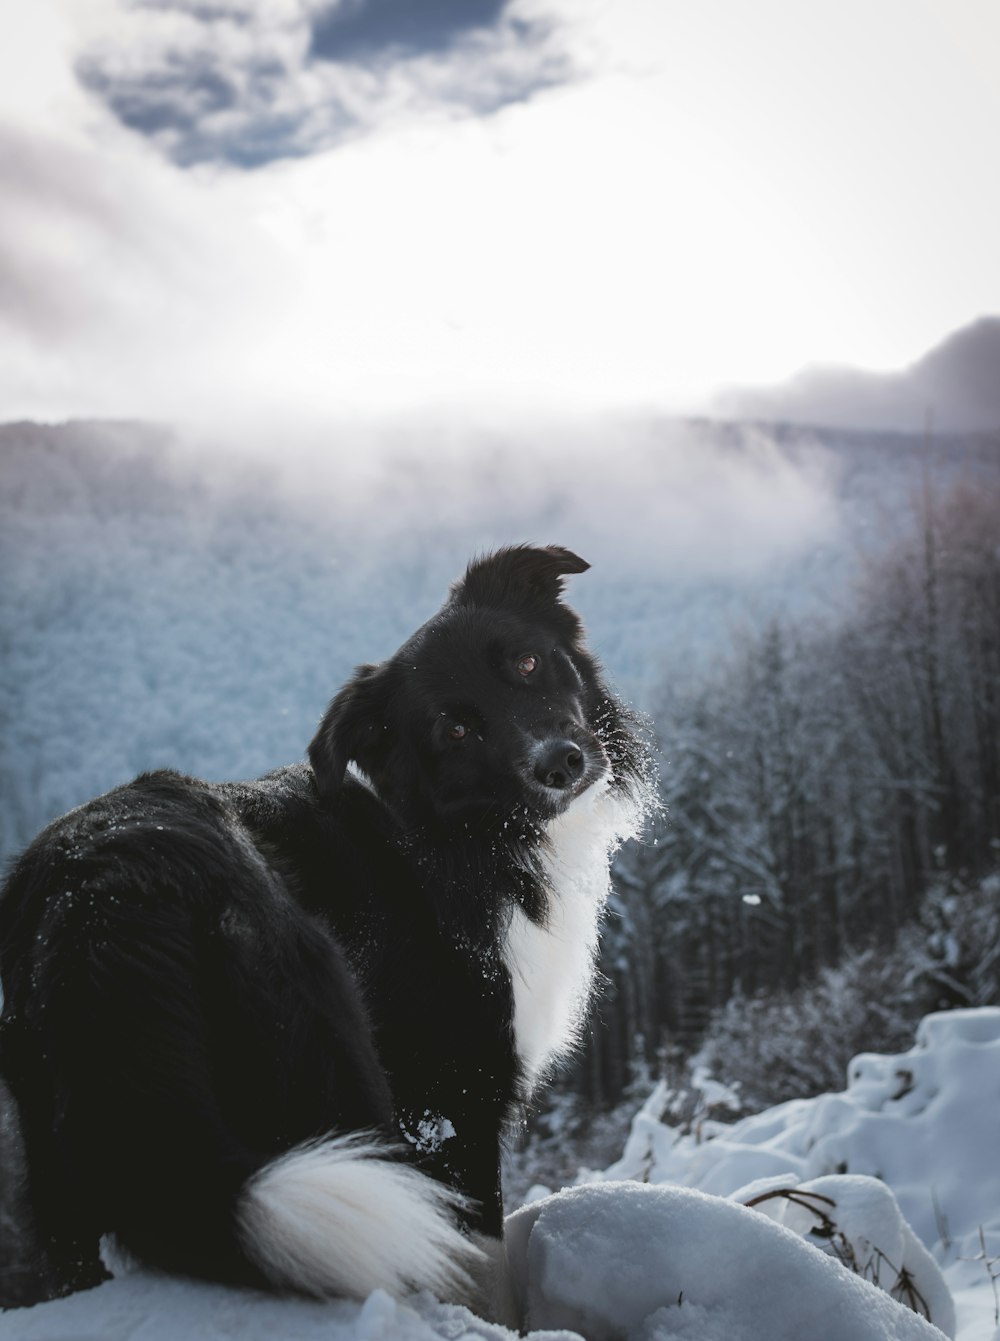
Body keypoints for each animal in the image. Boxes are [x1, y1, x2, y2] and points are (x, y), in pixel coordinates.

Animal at [0, 544, 651, 1308]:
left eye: (525, 662)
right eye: (454, 731)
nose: (560, 763)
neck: (451, 836)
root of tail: (105, 883)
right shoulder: (451, 1098)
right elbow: (483, 1268)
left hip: (66, 1136)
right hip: (331, 1049)